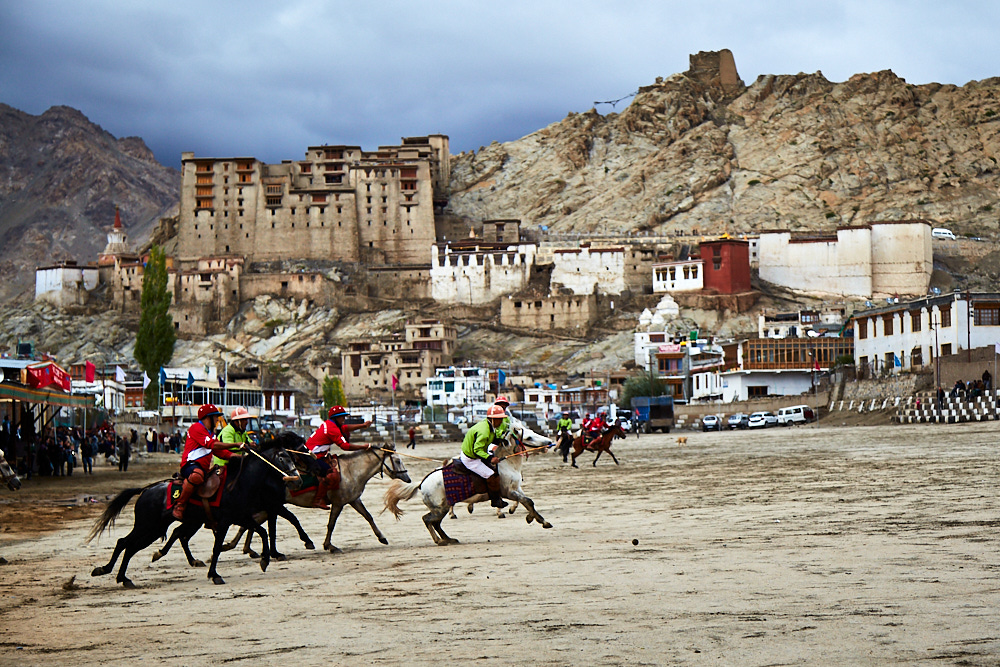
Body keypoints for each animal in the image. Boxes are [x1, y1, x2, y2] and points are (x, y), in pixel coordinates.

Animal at [88, 430, 298, 588]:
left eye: (290, 456)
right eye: (282, 456)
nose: (295, 478)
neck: (238, 483)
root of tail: (147, 490)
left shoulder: (241, 517)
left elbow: (262, 531)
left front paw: (265, 559)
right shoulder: (225, 521)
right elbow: (218, 547)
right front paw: (214, 574)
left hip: (155, 529)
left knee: (132, 546)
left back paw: (122, 577)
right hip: (147, 526)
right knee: (125, 542)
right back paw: (109, 571)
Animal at [222, 438, 410, 560]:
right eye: (397, 460)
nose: (407, 478)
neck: (351, 470)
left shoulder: (353, 500)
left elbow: (368, 516)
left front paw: (381, 537)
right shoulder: (339, 503)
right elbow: (331, 524)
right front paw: (329, 546)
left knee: (252, 522)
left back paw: (241, 547)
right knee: (253, 521)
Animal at [384, 434, 556, 548]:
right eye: (529, 437)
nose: (549, 442)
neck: (505, 463)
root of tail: (421, 484)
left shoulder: (516, 489)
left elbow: (528, 502)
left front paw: (536, 519)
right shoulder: (507, 492)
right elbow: (526, 501)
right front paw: (537, 520)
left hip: (441, 508)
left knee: (436, 523)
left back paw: (449, 539)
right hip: (439, 508)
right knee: (427, 519)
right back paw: (440, 540)